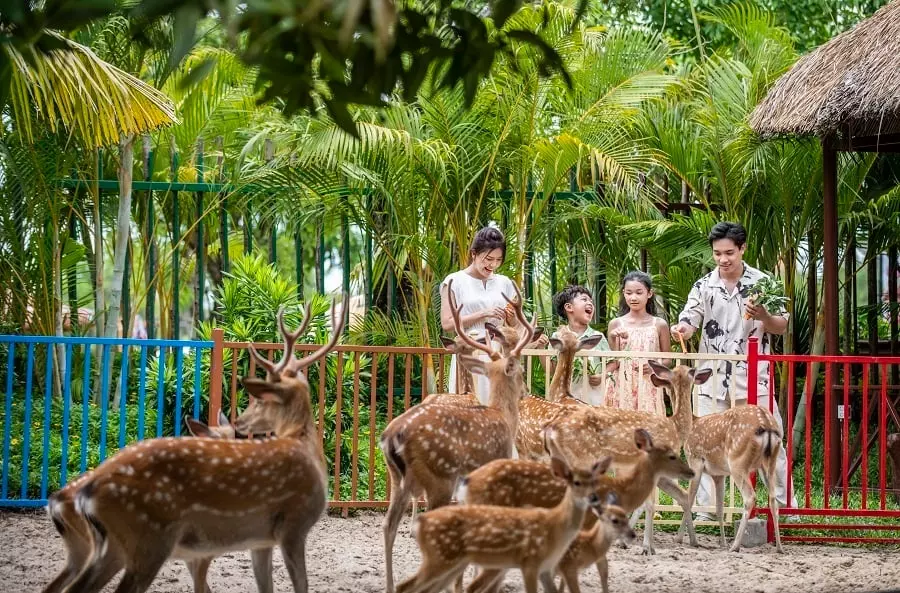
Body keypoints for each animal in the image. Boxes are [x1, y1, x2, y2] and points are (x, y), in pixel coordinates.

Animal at [54, 300, 344, 592]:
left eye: (261, 400)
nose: (240, 421)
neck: (303, 444)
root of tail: (83, 495)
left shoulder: (261, 541)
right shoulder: (294, 525)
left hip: (109, 546)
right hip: (149, 538)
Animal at [378, 278, 536, 592]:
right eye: (521, 371)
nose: (526, 391)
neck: (503, 415)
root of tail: (393, 437)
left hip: (398, 478)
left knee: (389, 526)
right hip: (439, 476)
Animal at [644, 364, 784, 552]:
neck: (692, 424)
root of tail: (767, 424)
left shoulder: (694, 460)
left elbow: (689, 498)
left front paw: (680, 539)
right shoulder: (719, 474)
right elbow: (719, 507)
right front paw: (722, 543)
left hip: (738, 462)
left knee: (750, 497)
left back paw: (735, 546)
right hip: (770, 463)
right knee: (774, 500)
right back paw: (779, 547)